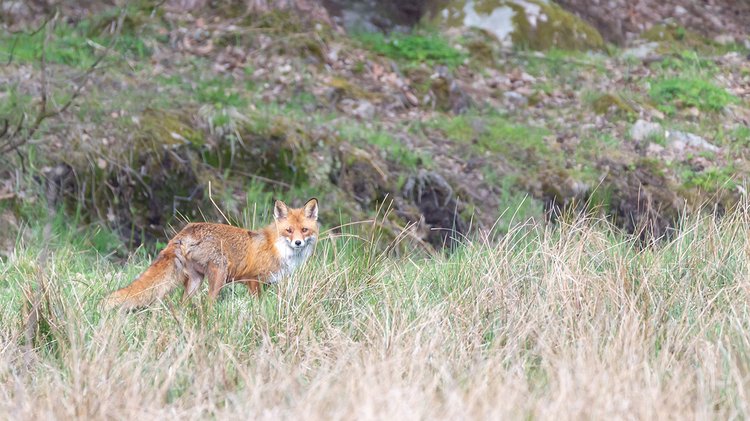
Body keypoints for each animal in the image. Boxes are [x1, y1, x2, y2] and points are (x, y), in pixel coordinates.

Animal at [102, 198, 319, 310]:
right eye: (289, 230)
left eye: (304, 230)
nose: (298, 242)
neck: (277, 247)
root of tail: (186, 230)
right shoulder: (253, 280)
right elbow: (259, 306)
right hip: (219, 275)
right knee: (208, 303)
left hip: (195, 280)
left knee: (183, 305)